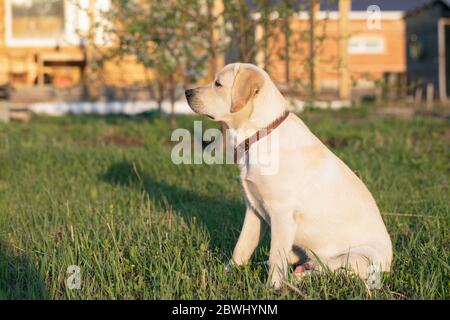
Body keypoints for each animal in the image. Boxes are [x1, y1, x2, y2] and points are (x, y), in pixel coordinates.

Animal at [185, 62, 392, 288]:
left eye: (218, 84)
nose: (187, 92)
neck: (260, 134)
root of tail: (389, 265)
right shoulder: (254, 209)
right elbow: (242, 247)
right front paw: (226, 273)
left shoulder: (281, 213)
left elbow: (276, 256)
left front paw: (271, 288)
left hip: (356, 258)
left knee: (327, 269)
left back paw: (297, 277)